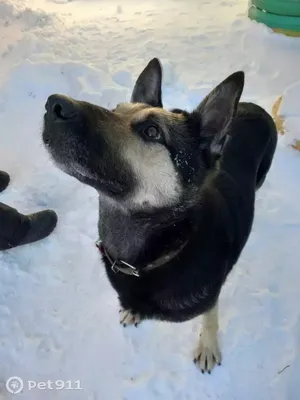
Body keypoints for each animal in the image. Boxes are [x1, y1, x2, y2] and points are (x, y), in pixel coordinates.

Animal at [41, 59, 276, 376]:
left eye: (152, 131)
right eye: (116, 109)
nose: (54, 104)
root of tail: (252, 105)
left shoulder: (210, 295)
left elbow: (210, 317)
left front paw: (208, 346)